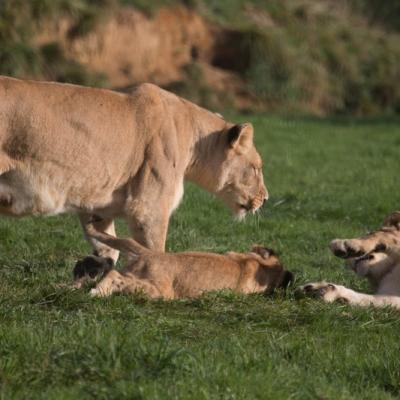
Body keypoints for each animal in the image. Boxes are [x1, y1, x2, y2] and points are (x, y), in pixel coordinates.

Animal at [0, 75, 268, 276]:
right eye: (256, 168)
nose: (265, 199)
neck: (195, 142)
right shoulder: (149, 205)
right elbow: (155, 249)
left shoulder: (96, 203)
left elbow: (108, 246)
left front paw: (94, 273)